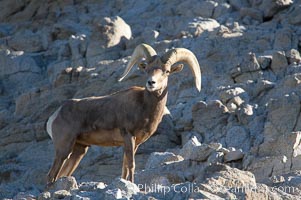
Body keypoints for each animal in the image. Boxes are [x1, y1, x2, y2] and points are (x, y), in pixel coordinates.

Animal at [47, 43, 200, 185]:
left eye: (167, 71)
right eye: (147, 69)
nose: (151, 82)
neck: (144, 107)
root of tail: (55, 115)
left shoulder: (135, 143)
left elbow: (125, 167)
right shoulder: (128, 136)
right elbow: (131, 165)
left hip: (78, 151)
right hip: (64, 149)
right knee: (51, 176)